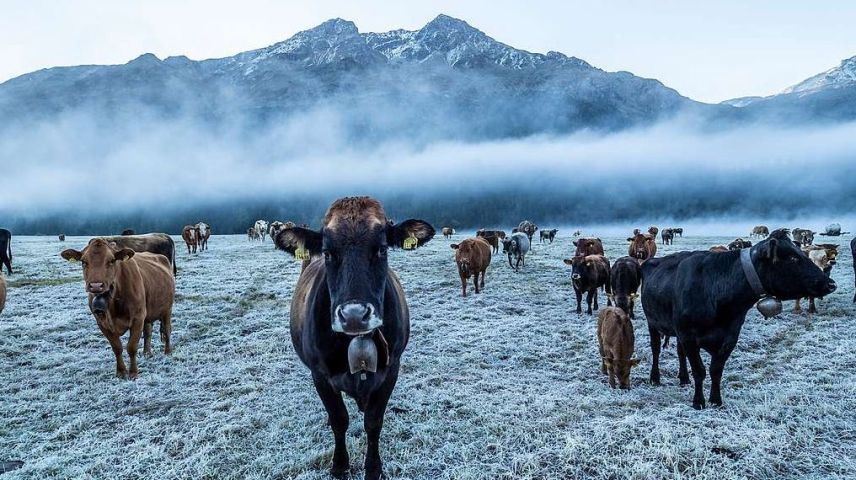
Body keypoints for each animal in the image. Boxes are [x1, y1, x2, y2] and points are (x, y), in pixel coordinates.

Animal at [61, 238, 176, 380]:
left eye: (111, 260)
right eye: (83, 261)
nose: (96, 285)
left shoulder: (138, 318)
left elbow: (131, 347)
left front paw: (133, 373)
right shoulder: (102, 322)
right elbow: (117, 348)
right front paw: (121, 372)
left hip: (167, 309)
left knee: (167, 330)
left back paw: (168, 351)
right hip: (148, 313)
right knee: (148, 331)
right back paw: (147, 353)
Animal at [274, 196, 434, 480]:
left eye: (382, 249)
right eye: (327, 252)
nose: (354, 315)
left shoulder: (392, 369)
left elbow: (373, 421)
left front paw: (373, 467)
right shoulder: (320, 375)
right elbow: (339, 420)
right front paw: (340, 464)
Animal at [640, 230, 836, 408]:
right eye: (793, 258)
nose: (831, 283)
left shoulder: (729, 337)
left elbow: (716, 370)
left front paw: (716, 400)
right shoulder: (688, 336)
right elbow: (699, 370)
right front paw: (699, 401)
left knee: (680, 352)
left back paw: (683, 378)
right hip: (653, 323)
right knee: (656, 349)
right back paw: (655, 377)